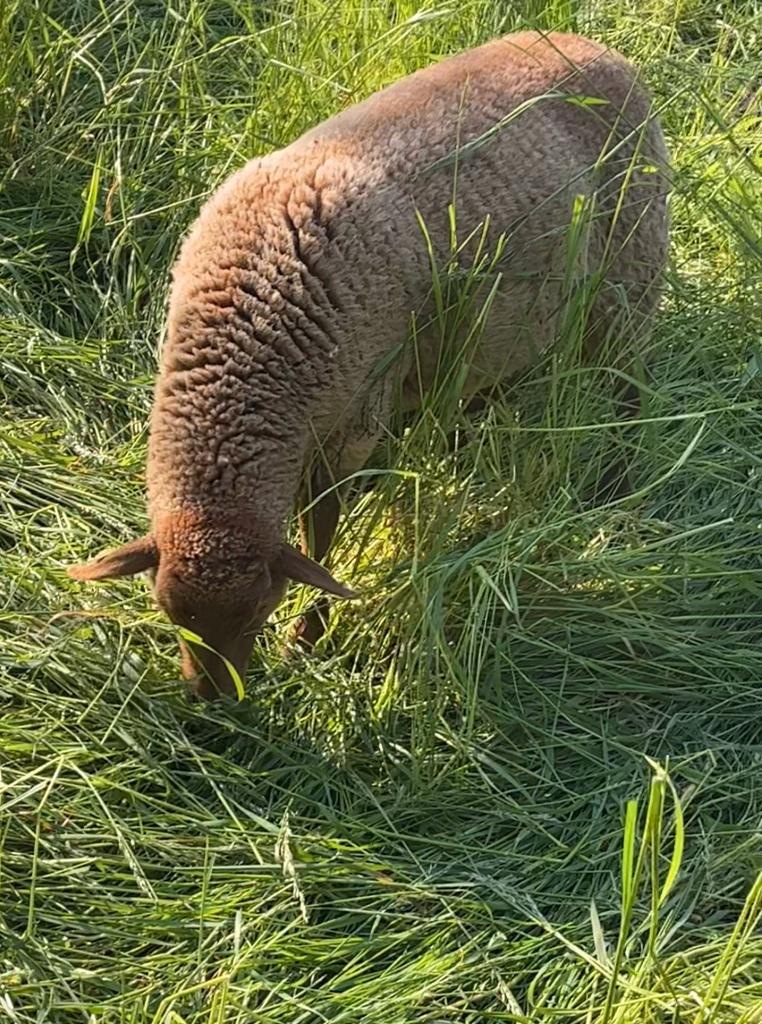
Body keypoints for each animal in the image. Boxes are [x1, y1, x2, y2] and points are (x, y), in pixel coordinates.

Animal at [68, 32, 667, 704]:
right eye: (171, 614)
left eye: (257, 611)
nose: (213, 701)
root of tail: (600, 49)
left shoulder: (351, 421)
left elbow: (322, 534)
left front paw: (308, 637)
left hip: (631, 271)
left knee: (631, 385)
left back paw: (617, 481)